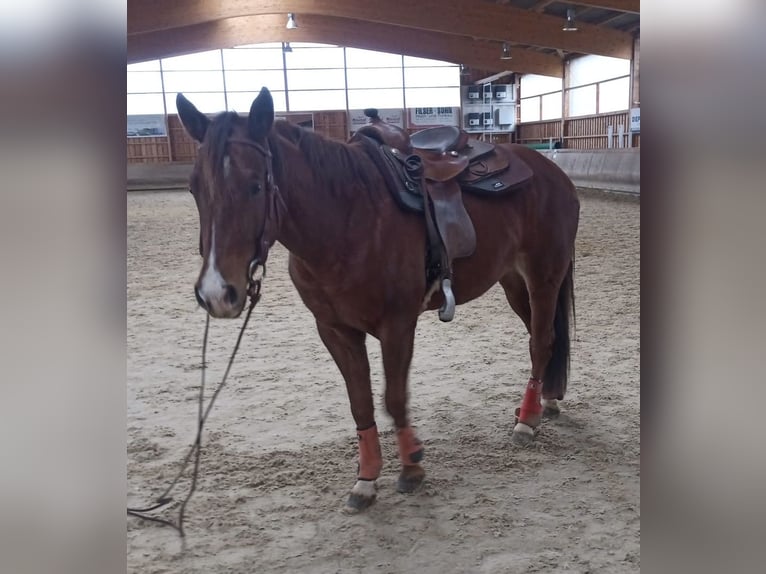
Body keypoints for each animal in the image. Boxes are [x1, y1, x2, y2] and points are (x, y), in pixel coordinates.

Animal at [176, 86, 584, 512]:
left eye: (256, 185)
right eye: (194, 189)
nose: (216, 292)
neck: (346, 218)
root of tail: (552, 172)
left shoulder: (397, 325)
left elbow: (394, 398)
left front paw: (412, 467)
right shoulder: (334, 330)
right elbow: (361, 402)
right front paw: (366, 479)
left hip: (543, 276)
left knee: (541, 342)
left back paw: (526, 421)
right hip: (513, 283)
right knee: (543, 338)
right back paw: (546, 402)